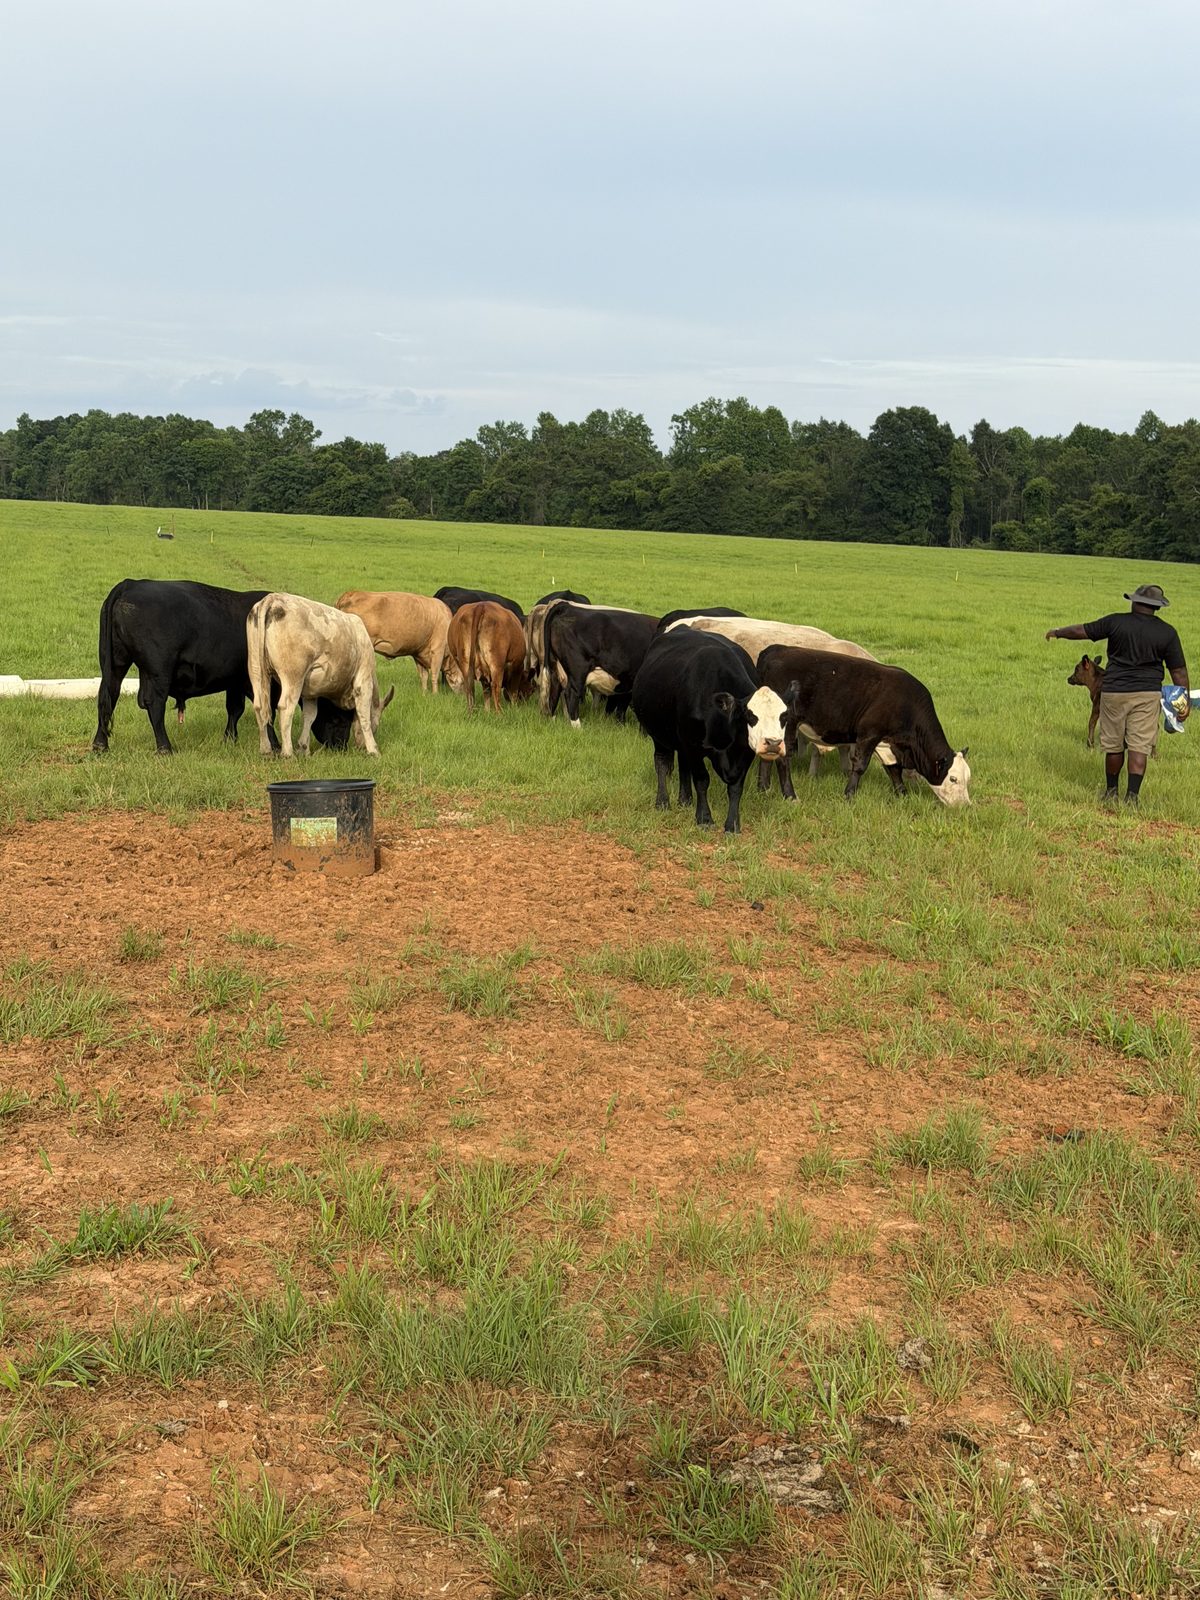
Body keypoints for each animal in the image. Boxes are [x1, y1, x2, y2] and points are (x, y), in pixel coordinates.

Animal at [92, 579, 355, 755]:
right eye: (339, 717)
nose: (341, 746)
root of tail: (132, 583)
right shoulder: (260, 682)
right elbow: (267, 710)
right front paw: (274, 744)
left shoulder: (235, 681)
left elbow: (234, 709)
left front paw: (230, 739)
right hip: (158, 671)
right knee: (154, 704)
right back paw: (165, 747)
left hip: (115, 664)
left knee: (108, 697)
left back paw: (100, 744)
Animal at [247, 594, 391, 758]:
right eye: (376, 725)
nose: (358, 746)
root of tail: (273, 598)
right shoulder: (364, 680)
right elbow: (364, 715)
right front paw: (373, 750)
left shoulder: (311, 691)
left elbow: (309, 716)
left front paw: (304, 749)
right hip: (293, 675)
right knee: (285, 707)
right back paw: (288, 753)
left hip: (256, 669)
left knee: (259, 706)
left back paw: (265, 749)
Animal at [631, 629, 791, 834]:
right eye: (750, 715)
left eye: (784, 716)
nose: (773, 743)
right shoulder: (693, 745)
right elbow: (701, 780)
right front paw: (704, 818)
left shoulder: (744, 751)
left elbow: (736, 787)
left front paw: (732, 825)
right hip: (660, 734)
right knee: (662, 763)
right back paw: (663, 802)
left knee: (683, 764)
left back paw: (685, 800)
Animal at [756, 645, 971, 806]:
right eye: (953, 778)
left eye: (968, 778)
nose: (965, 805)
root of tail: (776, 649)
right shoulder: (869, 734)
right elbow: (860, 766)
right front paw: (849, 795)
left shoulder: (886, 744)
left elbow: (893, 769)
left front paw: (902, 795)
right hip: (789, 723)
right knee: (783, 758)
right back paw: (790, 795)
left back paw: (764, 789)